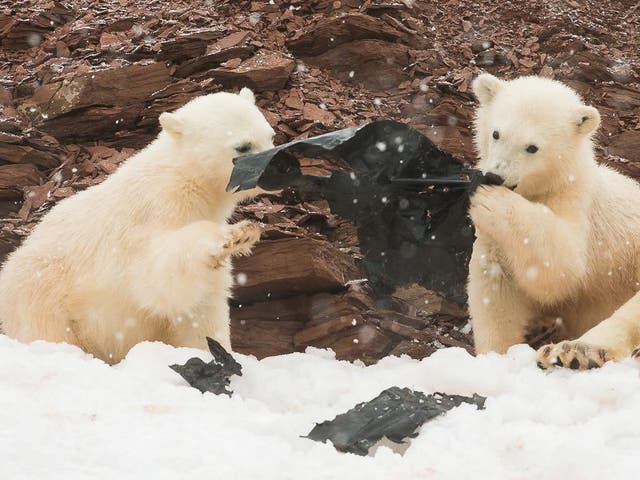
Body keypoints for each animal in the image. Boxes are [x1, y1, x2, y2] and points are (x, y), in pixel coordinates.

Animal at [0, 88, 274, 364]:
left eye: (270, 135)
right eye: (242, 146)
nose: (278, 167)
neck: (186, 182)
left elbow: (202, 305)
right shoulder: (151, 215)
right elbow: (161, 275)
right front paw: (235, 235)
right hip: (43, 288)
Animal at [467, 73, 640, 370]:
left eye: (532, 147)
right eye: (496, 133)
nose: (494, 176)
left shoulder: (578, 205)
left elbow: (562, 267)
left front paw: (494, 202)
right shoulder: (493, 241)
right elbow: (496, 287)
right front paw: (494, 356)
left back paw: (575, 352)